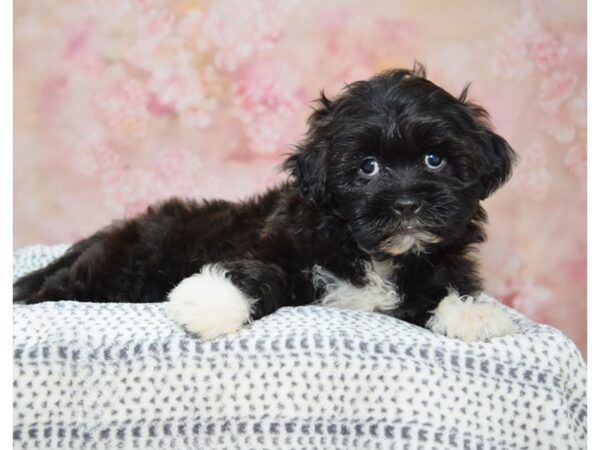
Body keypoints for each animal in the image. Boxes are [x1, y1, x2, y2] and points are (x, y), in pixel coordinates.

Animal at [15, 65, 520, 342]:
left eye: (435, 159)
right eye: (368, 167)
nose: (408, 204)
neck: (376, 255)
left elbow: (438, 286)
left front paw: (469, 312)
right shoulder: (276, 243)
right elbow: (262, 271)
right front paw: (212, 301)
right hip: (118, 267)